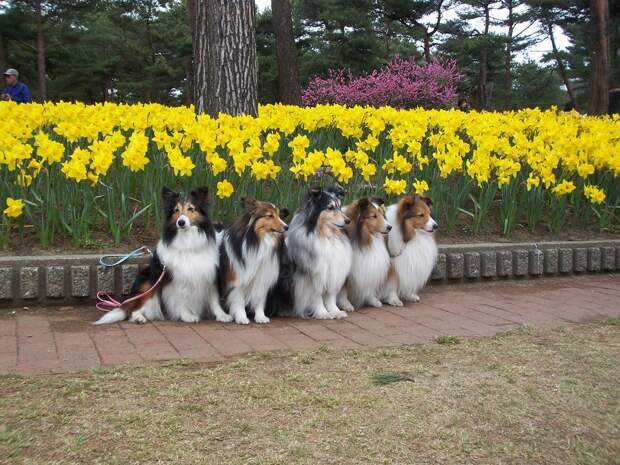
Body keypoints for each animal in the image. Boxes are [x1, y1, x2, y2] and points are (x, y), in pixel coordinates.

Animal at [94, 187, 232, 324]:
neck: (188, 243)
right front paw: (186, 316)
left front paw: (222, 315)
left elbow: (214, 300)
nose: (181, 222)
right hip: (149, 285)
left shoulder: (209, 275)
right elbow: (180, 299)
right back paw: (138, 318)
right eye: (176, 210)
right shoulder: (175, 279)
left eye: (191, 208)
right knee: (133, 309)